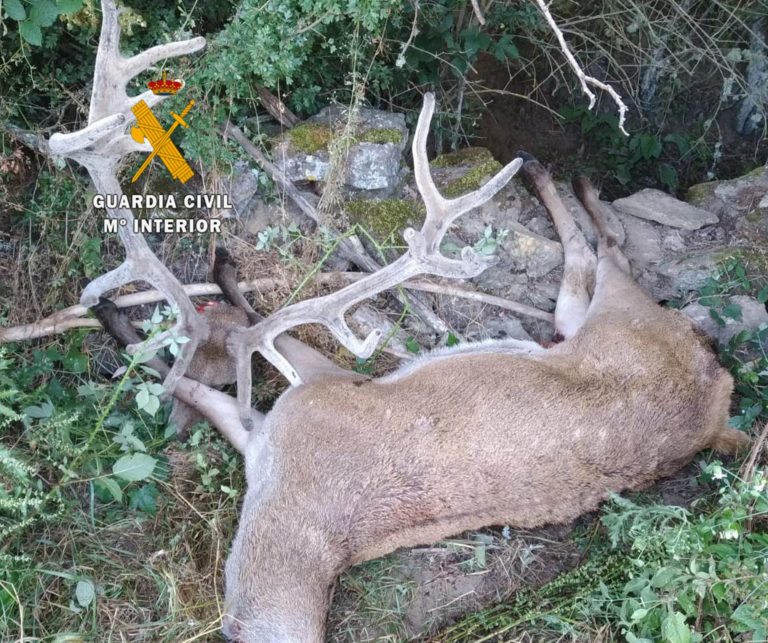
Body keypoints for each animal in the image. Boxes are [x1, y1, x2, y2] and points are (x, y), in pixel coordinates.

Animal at [1, 3, 750, 642]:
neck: (309, 520)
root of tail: (719, 396)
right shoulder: (264, 437)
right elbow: (209, 377)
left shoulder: (315, 401)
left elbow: (228, 356)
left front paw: (160, 311)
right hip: (576, 324)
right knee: (589, 258)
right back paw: (557, 174)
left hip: (620, 317)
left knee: (607, 253)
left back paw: (557, 174)